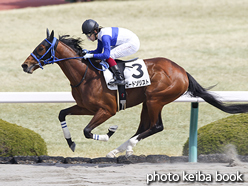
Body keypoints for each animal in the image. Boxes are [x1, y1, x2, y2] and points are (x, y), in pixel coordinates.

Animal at [21, 29, 248, 158]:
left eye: (41, 47)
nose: (25, 65)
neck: (86, 74)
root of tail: (182, 71)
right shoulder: (86, 107)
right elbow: (62, 113)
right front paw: (71, 143)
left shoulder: (107, 110)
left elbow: (87, 130)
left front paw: (109, 133)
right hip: (148, 102)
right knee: (144, 127)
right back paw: (120, 150)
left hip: (156, 99)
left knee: (156, 126)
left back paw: (123, 146)